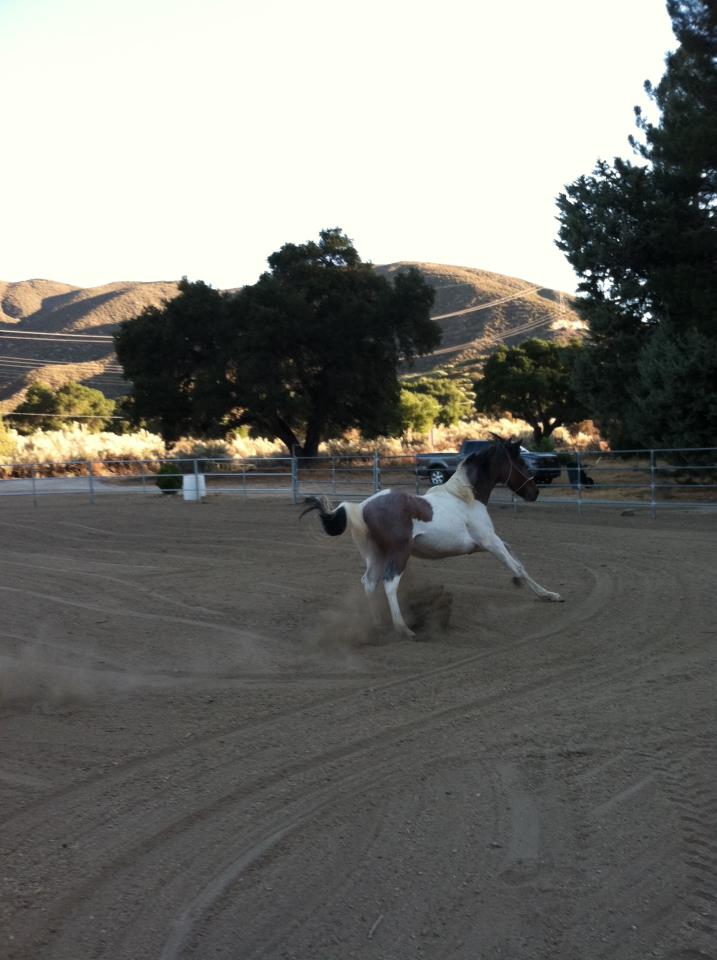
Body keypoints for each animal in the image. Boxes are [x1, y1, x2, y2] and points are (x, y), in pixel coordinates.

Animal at [300, 436, 564, 636]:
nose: (534, 492)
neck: (466, 497)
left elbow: (517, 559)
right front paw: (547, 594)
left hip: (377, 555)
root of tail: (362, 506)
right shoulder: (490, 541)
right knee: (389, 583)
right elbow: (516, 566)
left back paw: (377, 624)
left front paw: (544, 592)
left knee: (369, 582)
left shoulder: (487, 543)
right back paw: (403, 629)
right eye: (521, 463)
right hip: (399, 554)